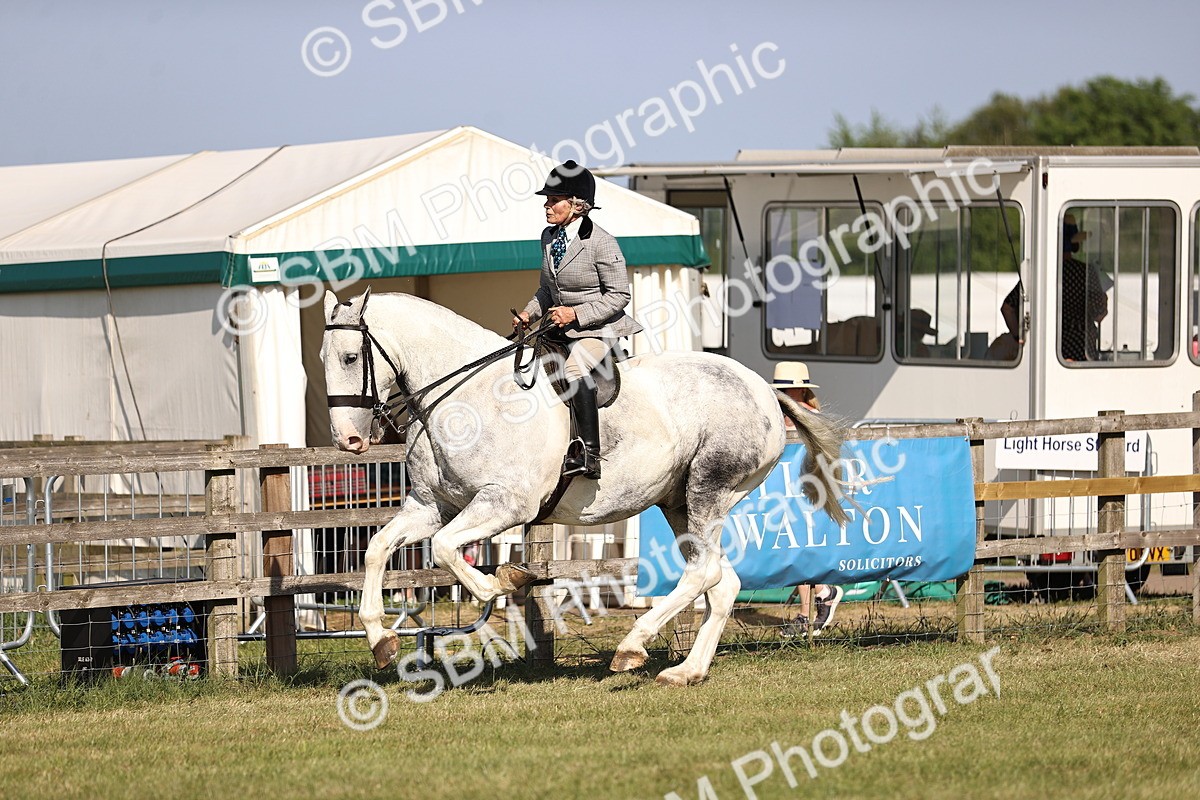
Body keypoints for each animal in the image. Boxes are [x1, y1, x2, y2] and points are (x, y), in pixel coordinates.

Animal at [320, 288, 847, 686]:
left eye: (350, 356)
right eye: (323, 358)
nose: (348, 441)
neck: (465, 398)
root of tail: (763, 388)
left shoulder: (505, 503)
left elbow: (448, 548)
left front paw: (502, 582)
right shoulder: (432, 507)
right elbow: (378, 547)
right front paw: (381, 640)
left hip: (709, 490)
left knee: (703, 574)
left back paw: (632, 646)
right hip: (678, 502)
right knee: (721, 581)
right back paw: (686, 672)